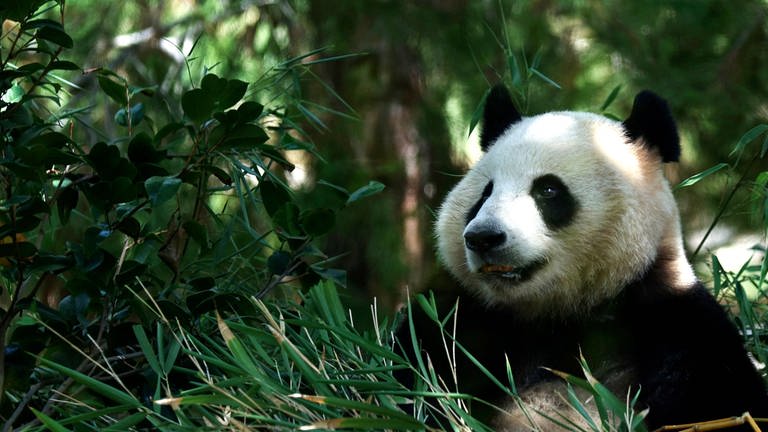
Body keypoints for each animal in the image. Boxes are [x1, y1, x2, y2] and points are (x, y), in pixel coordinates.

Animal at [396, 83, 768, 428]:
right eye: (485, 193)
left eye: (547, 190)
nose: (483, 237)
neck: (562, 312)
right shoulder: (463, 319)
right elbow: (408, 375)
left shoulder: (675, 321)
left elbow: (720, 404)